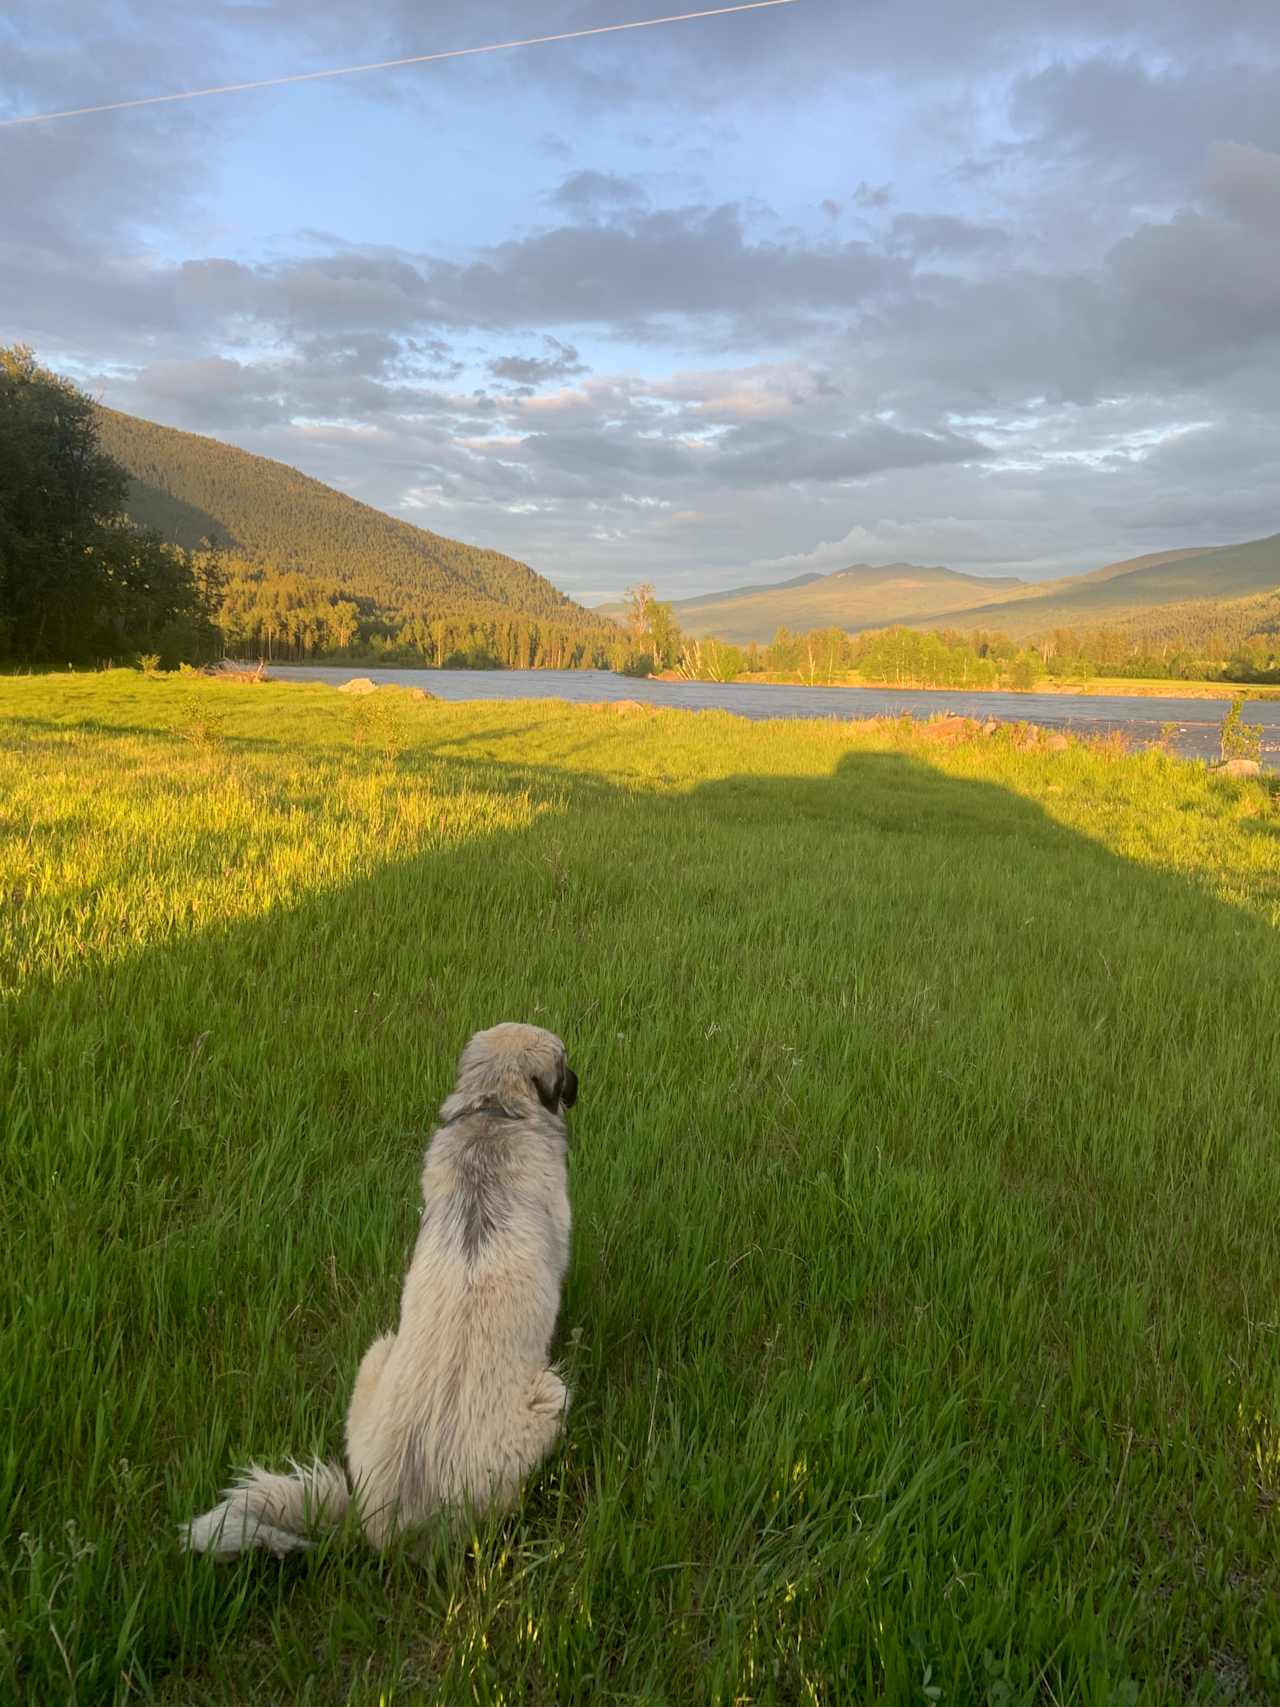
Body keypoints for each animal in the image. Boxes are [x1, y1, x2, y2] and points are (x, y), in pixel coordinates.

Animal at [182, 1017, 580, 1556]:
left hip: (375, 1356)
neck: (494, 1111)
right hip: (549, 1395)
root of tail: (386, 1521)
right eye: (565, 1064)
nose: (578, 1086)